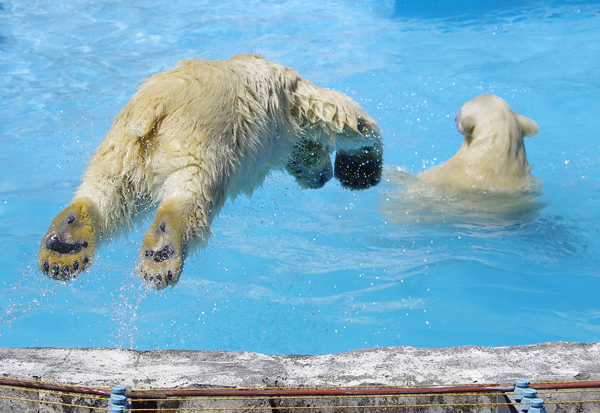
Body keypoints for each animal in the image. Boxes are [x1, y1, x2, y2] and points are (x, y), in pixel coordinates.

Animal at [39, 53, 382, 288]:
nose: (323, 178)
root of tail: (155, 106)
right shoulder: (293, 95)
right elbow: (342, 113)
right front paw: (361, 169)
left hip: (120, 151)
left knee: (109, 193)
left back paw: (65, 245)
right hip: (201, 142)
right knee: (191, 196)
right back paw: (162, 252)